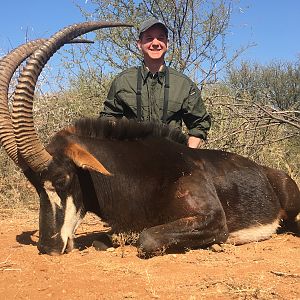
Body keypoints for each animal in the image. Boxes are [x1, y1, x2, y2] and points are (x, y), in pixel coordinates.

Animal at [0, 21, 298, 255]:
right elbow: (105, 239)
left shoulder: (213, 218)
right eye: (34, 185)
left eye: (62, 179)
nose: (47, 248)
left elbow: (147, 237)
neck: (136, 174)